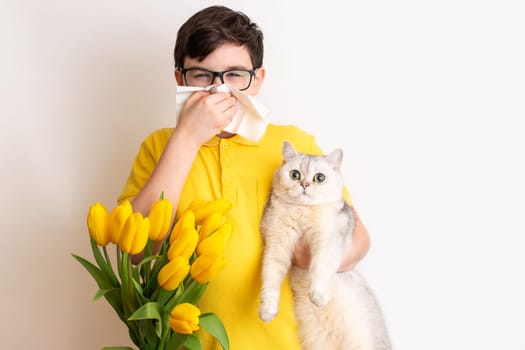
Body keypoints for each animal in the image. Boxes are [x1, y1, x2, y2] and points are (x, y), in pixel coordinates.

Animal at [258, 141, 388, 348]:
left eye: (319, 178)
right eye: (295, 174)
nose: (304, 184)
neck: (302, 211)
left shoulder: (328, 239)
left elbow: (320, 267)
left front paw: (318, 295)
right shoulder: (276, 243)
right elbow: (270, 279)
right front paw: (267, 311)